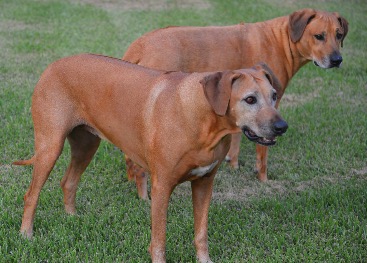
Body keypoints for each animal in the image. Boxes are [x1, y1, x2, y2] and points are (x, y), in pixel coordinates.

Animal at [13, 54, 288, 263]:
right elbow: (159, 238)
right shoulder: (161, 186)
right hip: (50, 146)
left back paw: (71, 217)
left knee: (68, 182)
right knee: (31, 194)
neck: (203, 120)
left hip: (86, 145)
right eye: (250, 99)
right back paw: (26, 234)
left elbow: (201, 233)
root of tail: (53, 64)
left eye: (274, 95)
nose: (282, 127)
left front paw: (205, 260)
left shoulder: (204, 183)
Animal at [122, 8, 350, 197]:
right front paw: (263, 180)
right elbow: (262, 152)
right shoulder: (266, 109)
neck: (282, 40)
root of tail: (138, 47)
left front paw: (233, 163)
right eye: (319, 36)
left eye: (339, 35)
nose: (337, 60)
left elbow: (238, 136)